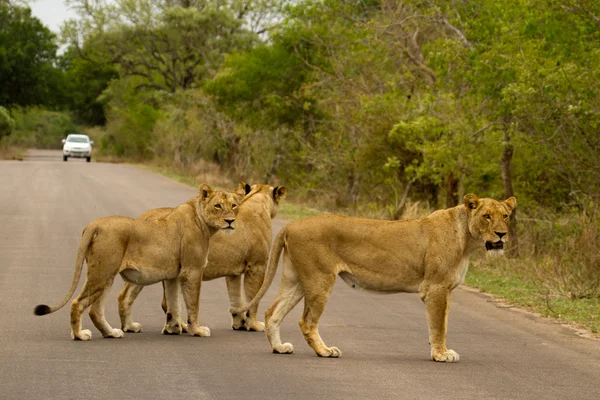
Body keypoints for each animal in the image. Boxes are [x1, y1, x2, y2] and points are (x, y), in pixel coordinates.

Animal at [34, 184, 241, 340]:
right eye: (218, 206)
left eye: (234, 205)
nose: (230, 221)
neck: (202, 221)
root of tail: (94, 224)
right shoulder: (192, 271)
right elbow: (192, 304)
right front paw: (197, 330)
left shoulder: (174, 276)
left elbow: (173, 304)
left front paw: (173, 328)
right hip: (102, 273)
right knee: (78, 303)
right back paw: (79, 335)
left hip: (106, 275)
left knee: (95, 310)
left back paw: (112, 333)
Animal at [118, 183, 288, 332]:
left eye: (233, 205)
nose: (230, 221)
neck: (256, 200)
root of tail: (142, 217)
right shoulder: (256, 265)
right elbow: (254, 298)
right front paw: (253, 325)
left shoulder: (233, 272)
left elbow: (236, 298)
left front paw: (239, 323)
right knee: (166, 303)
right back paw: (183, 326)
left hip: (145, 271)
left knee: (125, 296)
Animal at [231, 194, 516, 362]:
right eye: (486, 216)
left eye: (505, 216)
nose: (502, 235)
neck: (467, 239)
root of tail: (291, 225)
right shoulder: (436, 287)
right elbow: (439, 325)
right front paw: (440, 354)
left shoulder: (444, 289)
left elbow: (440, 323)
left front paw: (441, 351)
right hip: (319, 279)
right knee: (307, 321)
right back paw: (325, 351)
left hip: (296, 280)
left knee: (272, 312)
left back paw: (279, 348)